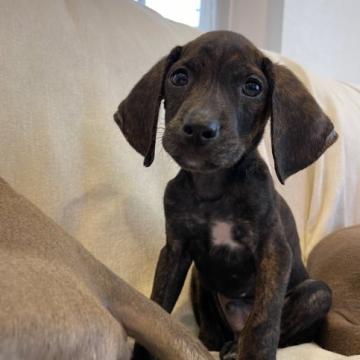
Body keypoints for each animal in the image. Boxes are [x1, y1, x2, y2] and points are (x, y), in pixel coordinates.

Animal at [115, 31, 338, 360]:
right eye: (179, 78)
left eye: (253, 87)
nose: (198, 128)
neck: (213, 189)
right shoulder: (175, 250)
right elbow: (156, 308)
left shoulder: (274, 252)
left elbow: (263, 322)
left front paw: (255, 353)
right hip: (198, 276)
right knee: (212, 325)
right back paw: (215, 341)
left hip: (318, 292)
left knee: (279, 327)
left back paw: (235, 347)